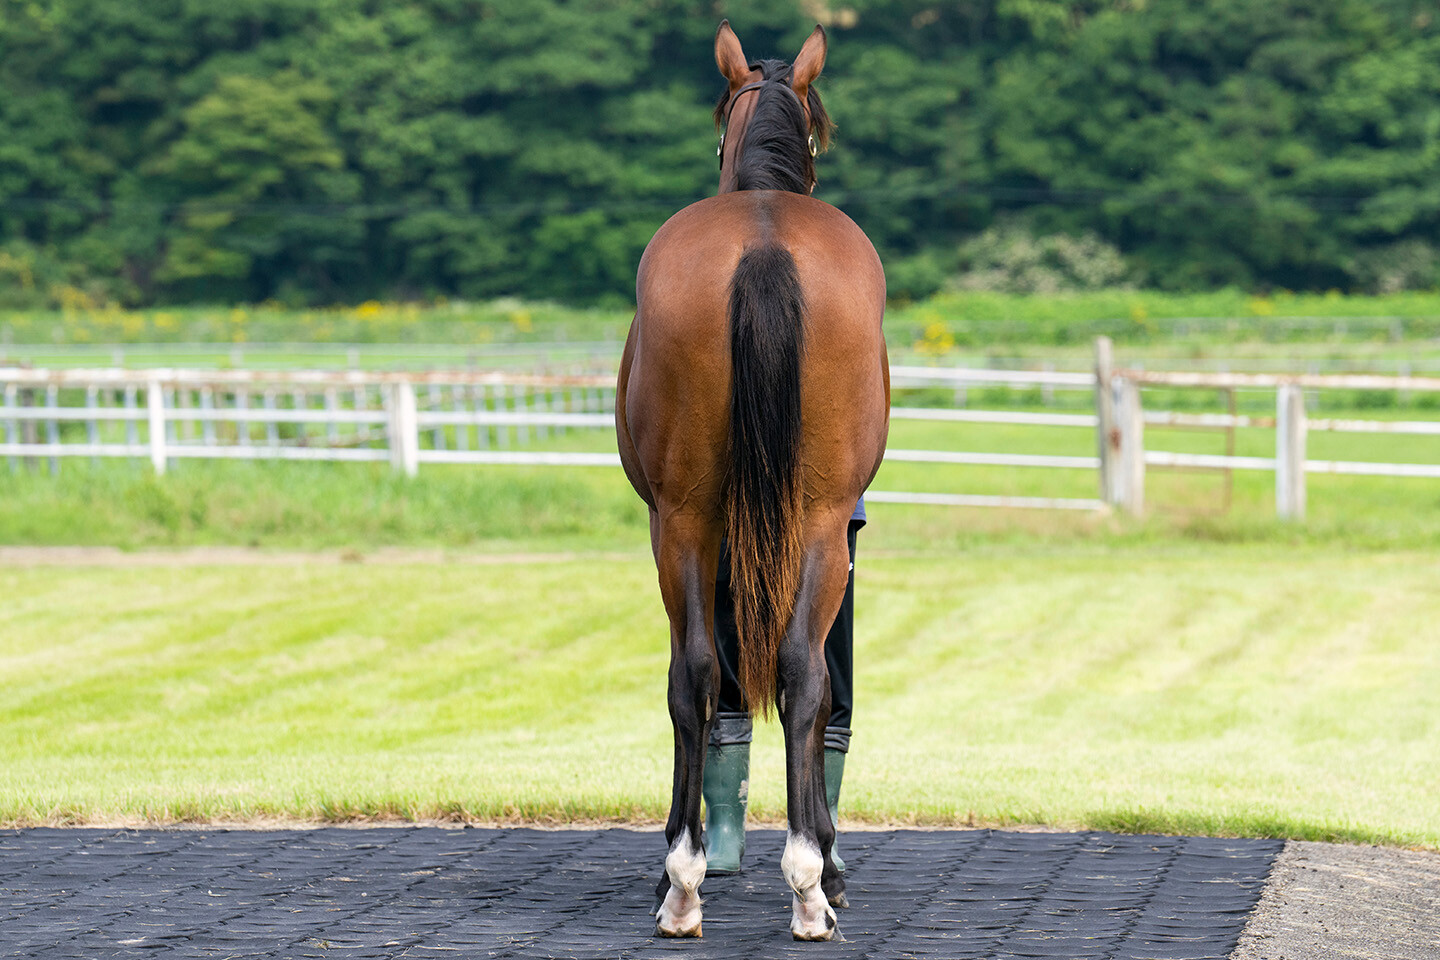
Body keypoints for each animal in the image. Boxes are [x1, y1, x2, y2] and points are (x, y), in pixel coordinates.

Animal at [619, 20, 887, 938]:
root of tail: (764, 242)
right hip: (805, 525)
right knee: (795, 675)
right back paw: (800, 880)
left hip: (691, 526)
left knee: (705, 674)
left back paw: (694, 879)